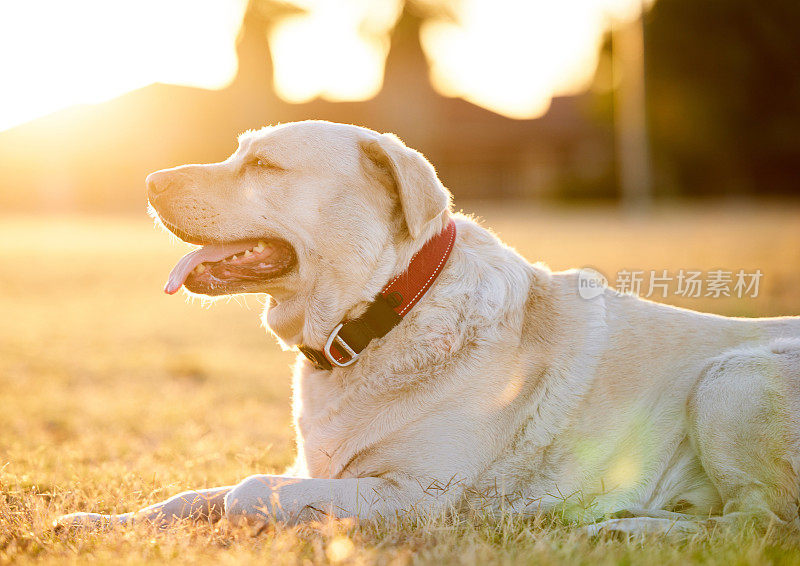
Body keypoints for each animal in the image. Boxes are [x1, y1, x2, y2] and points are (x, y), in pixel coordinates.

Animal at [59, 120, 800, 536]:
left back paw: (626, 531)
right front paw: (102, 522)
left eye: (264, 165)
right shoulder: (313, 469)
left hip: (732, 378)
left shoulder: (414, 497)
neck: (379, 318)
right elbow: (190, 496)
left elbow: (245, 492)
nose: (149, 181)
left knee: (756, 523)